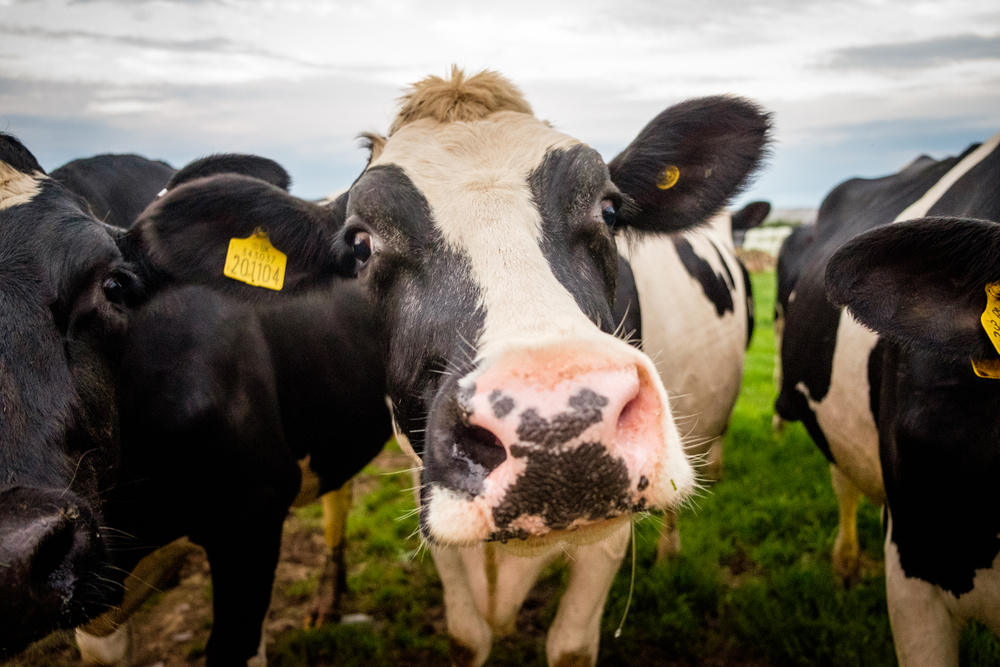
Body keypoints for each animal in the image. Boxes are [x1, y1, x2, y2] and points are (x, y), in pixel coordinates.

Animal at [324, 67, 770, 667]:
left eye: (609, 211)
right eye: (360, 244)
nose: (555, 425)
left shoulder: (611, 533)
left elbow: (571, 647)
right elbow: (466, 637)